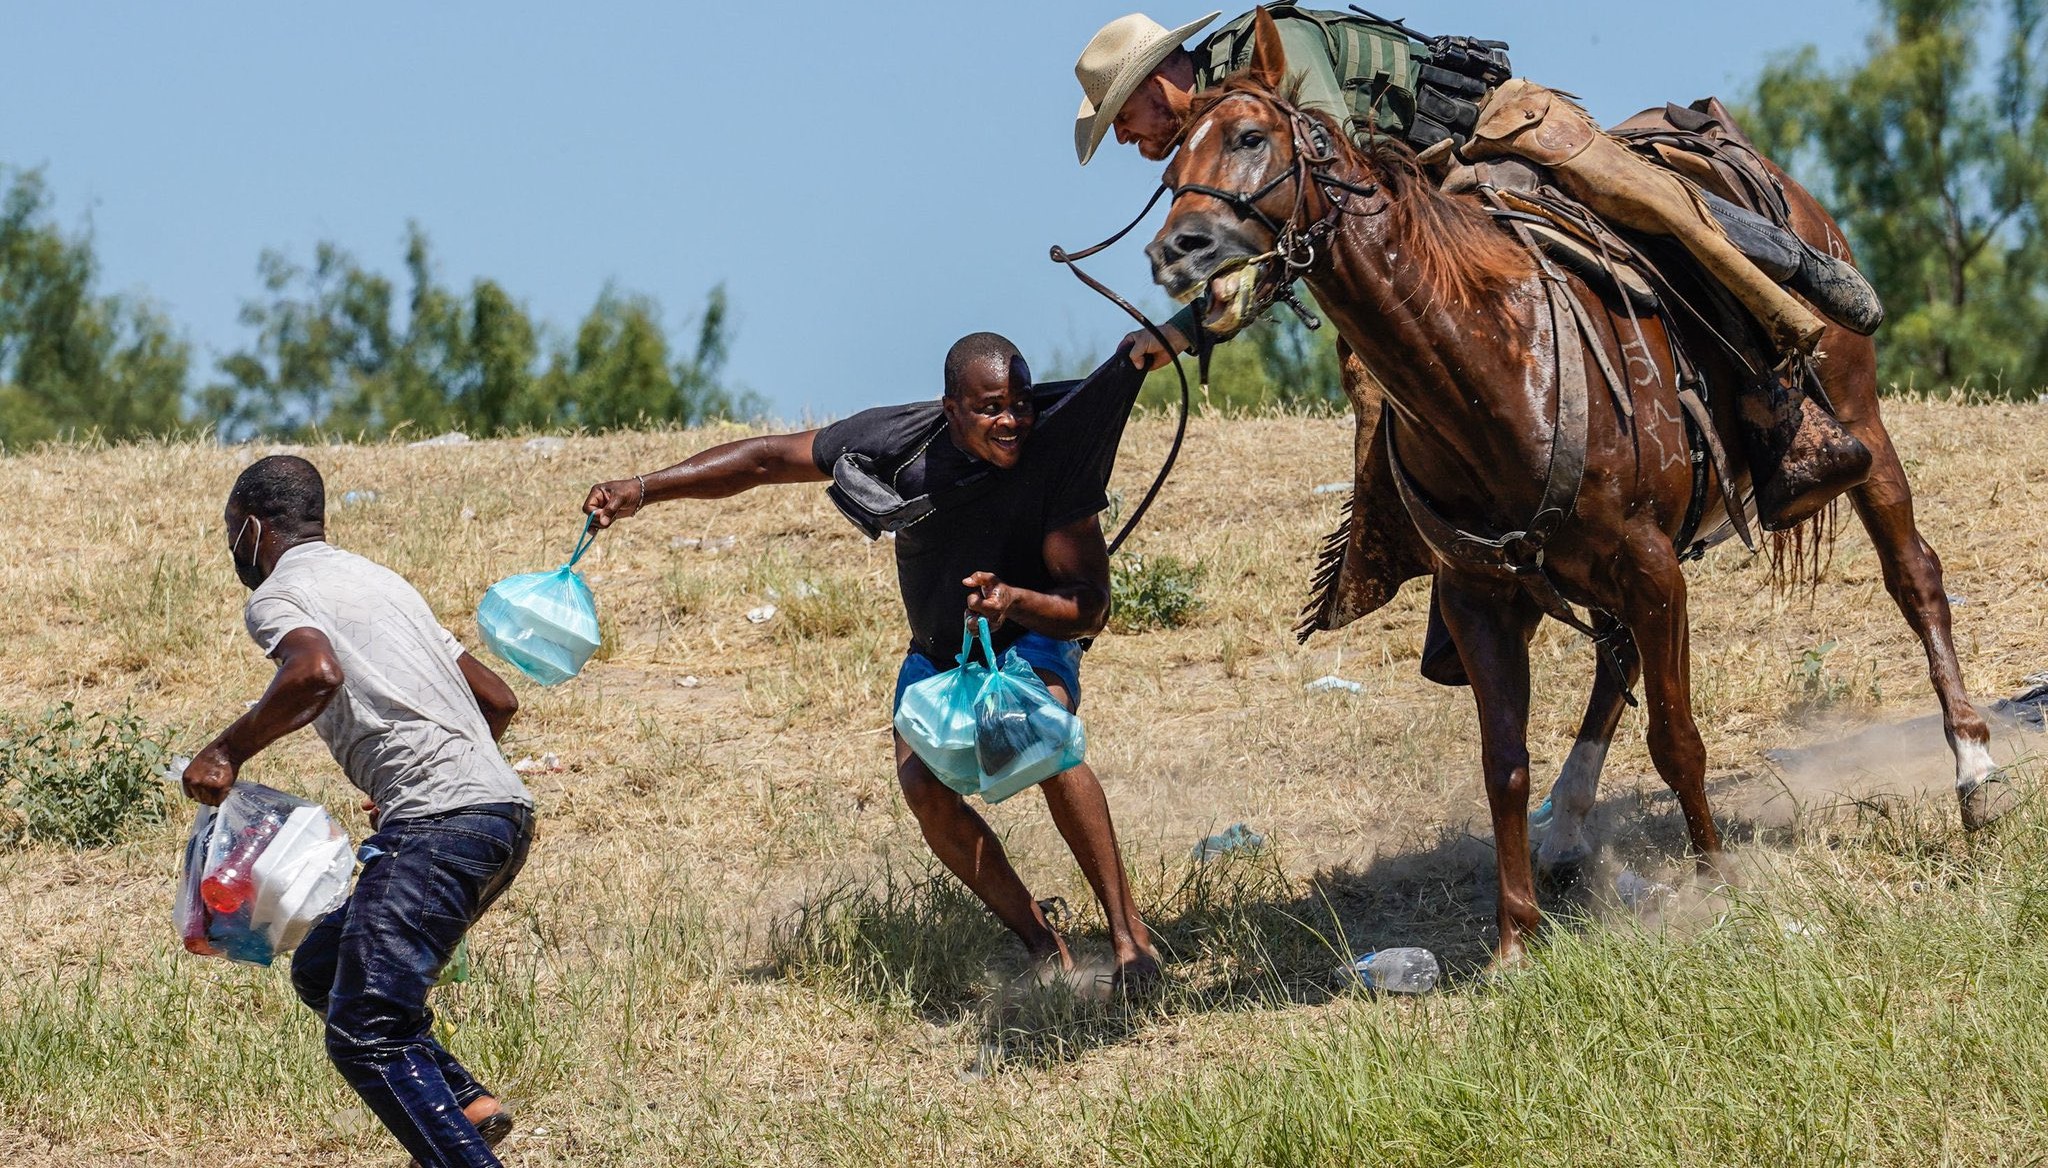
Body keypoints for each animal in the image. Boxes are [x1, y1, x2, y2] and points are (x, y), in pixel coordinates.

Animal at [1146, 4, 2007, 958]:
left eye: (1251, 137)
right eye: (1170, 168)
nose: (1177, 250)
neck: (1492, 359)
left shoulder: (1652, 567)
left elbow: (1676, 737)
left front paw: (1716, 882)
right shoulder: (1483, 595)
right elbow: (1505, 765)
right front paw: (1514, 941)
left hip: (1861, 427)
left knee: (1914, 577)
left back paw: (1974, 769)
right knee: (1615, 660)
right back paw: (1566, 830)